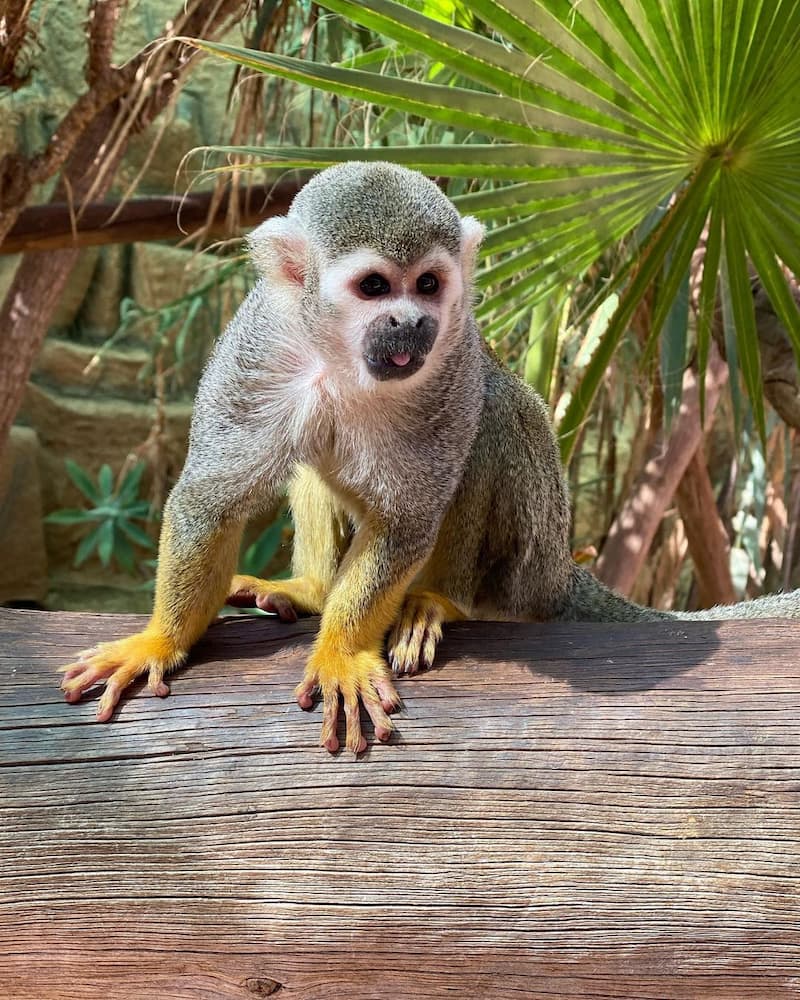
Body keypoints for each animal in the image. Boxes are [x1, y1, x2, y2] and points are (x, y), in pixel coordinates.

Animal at [61, 161, 800, 754]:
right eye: (374, 287)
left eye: (427, 283)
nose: (413, 323)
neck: (342, 360)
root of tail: (563, 570)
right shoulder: (260, 345)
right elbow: (210, 497)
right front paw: (160, 641)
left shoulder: (451, 363)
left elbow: (410, 516)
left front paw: (342, 650)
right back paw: (314, 588)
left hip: (533, 561)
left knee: (495, 416)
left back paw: (444, 601)